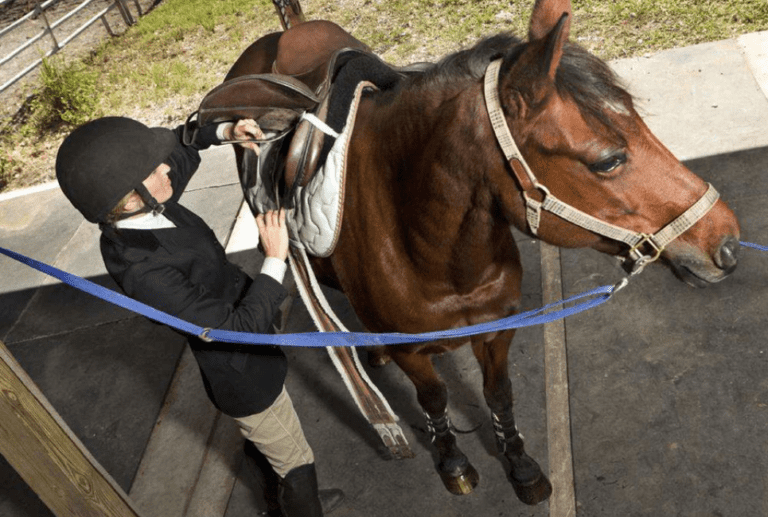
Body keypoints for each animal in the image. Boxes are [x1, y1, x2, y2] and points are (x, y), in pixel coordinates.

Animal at [219, 0, 741, 505]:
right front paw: (453, 462)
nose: (728, 242)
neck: (435, 255)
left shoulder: (497, 331)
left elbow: (499, 395)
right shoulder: (415, 353)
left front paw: (520, 463)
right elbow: (434, 399)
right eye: (608, 161)